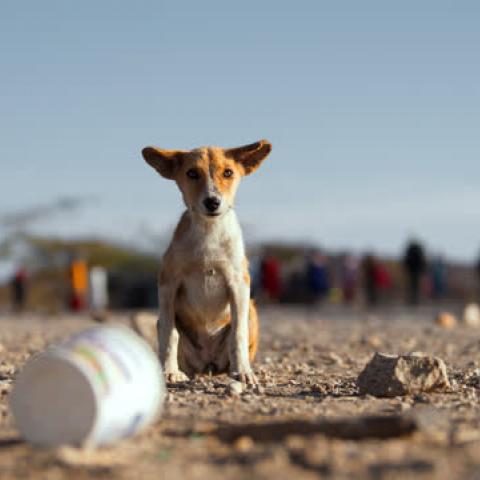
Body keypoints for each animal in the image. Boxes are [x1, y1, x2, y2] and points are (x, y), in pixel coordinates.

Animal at [141, 138, 272, 382]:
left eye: (228, 172)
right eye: (192, 173)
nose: (212, 202)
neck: (209, 231)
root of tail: (208, 364)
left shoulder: (239, 285)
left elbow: (238, 334)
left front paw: (243, 371)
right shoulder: (167, 284)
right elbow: (169, 334)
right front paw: (169, 372)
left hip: (251, 310)